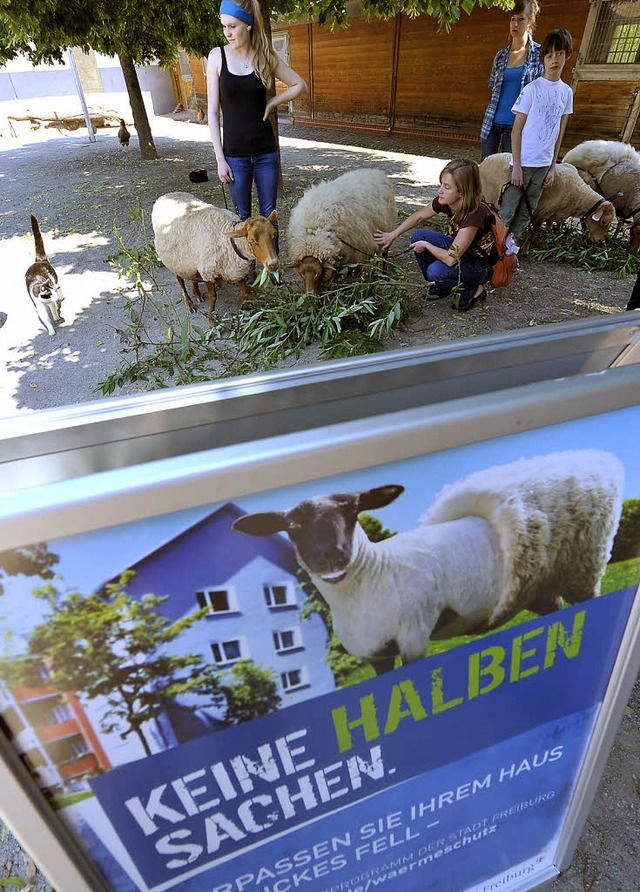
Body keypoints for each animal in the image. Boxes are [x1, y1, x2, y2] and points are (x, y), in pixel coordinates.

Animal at [154, 190, 278, 322]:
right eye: (252, 240)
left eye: (274, 235)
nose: (274, 264)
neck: (230, 242)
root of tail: (167, 194)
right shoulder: (208, 272)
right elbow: (213, 297)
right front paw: (212, 320)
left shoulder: (237, 270)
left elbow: (244, 294)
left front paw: (247, 313)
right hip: (176, 261)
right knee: (180, 280)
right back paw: (189, 303)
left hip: (190, 261)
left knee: (192, 276)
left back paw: (197, 293)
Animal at [232, 450, 624, 672]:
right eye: (292, 526)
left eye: (353, 510)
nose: (331, 555)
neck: (373, 577)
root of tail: (597, 460)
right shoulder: (377, 656)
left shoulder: (414, 638)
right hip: (539, 588)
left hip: (584, 570)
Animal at [478, 153, 616, 244]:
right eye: (604, 222)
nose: (598, 241)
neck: (578, 195)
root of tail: (482, 163)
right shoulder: (542, 212)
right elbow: (534, 231)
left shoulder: (551, 214)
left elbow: (549, 227)